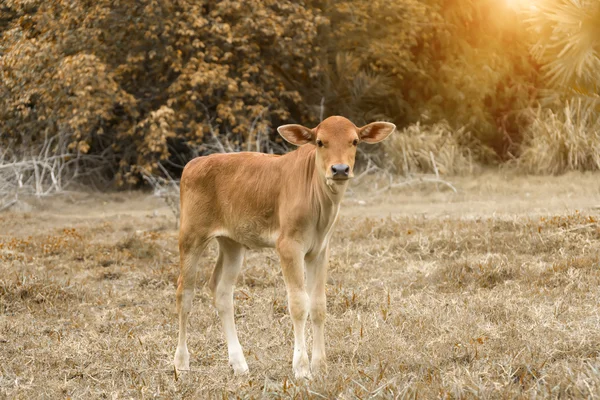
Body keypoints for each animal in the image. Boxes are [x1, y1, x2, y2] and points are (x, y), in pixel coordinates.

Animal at [173, 115, 396, 378]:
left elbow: (318, 305)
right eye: (320, 142)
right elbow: (298, 304)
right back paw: (181, 363)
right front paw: (301, 368)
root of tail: (194, 163)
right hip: (191, 235)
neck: (320, 206)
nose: (340, 169)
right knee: (184, 293)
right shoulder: (289, 246)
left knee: (222, 291)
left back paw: (239, 364)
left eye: (354, 141)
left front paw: (320, 366)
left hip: (232, 243)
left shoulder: (320, 250)